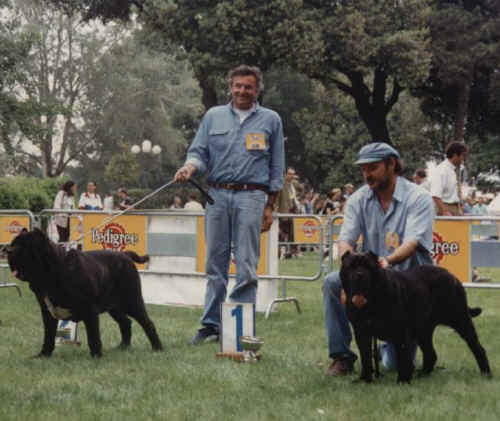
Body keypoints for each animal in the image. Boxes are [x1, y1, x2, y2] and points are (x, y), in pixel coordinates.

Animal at [5, 228, 163, 356]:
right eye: (13, 244)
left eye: (24, 247)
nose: (9, 250)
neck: (55, 270)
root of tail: (125, 255)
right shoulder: (48, 312)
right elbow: (49, 335)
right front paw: (44, 355)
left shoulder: (89, 310)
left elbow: (93, 336)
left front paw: (96, 356)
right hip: (114, 307)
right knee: (125, 323)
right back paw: (123, 347)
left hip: (132, 302)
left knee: (147, 323)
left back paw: (157, 348)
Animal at [340, 251, 492, 382]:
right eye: (351, 266)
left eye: (368, 266)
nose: (359, 275)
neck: (372, 300)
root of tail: (452, 276)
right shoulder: (361, 331)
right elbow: (365, 357)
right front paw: (365, 380)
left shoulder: (400, 331)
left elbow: (402, 357)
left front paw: (403, 380)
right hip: (423, 330)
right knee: (430, 354)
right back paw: (422, 374)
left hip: (461, 320)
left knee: (478, 348)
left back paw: (486, 374)